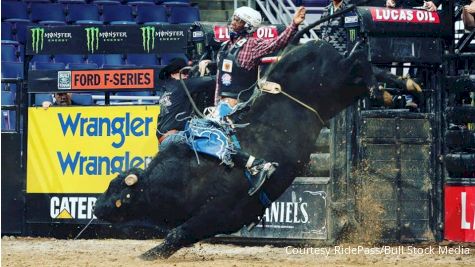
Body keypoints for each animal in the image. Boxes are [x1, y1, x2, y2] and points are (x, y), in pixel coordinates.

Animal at [93, 40, 374, 260]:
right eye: (109, 185)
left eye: (119, 193)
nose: (96, 208)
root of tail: (315, 44)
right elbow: (185, 233)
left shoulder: (222, 210)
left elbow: (182, 232)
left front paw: (149, 254)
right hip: (336, 96)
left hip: (337, 82)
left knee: (356, 67)